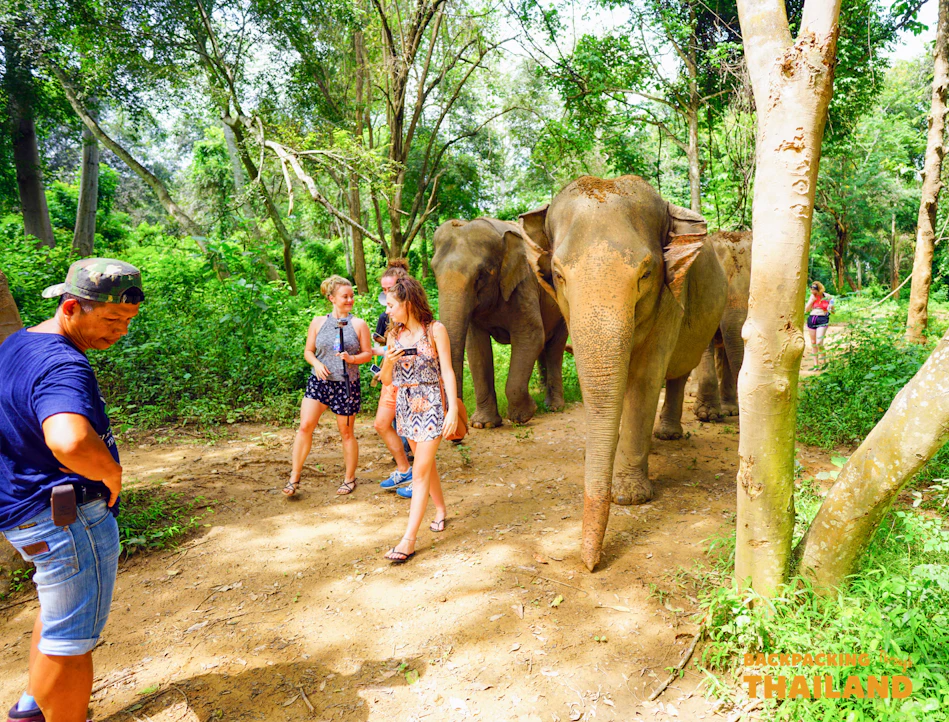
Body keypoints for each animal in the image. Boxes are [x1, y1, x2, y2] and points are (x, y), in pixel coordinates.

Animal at [431, 217, 568, 428]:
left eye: (480, 276)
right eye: (433, 271)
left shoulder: (523, 285)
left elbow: (531, 336)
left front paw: (524, 415)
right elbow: (477, 348)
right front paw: (483, 424)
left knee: (554, 347)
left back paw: (553, 406)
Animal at [519, 175, 727, 571]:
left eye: (645, 273)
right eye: (558, 275)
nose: (589, 565)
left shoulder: (669, 300)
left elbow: (645, 379)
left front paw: (629, 497)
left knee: (677, 372)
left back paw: (666, 436)